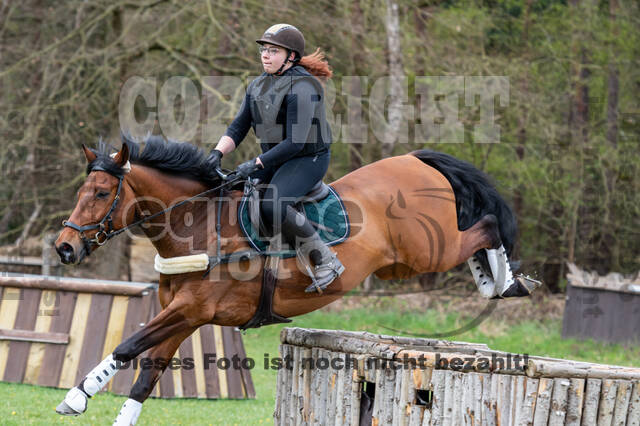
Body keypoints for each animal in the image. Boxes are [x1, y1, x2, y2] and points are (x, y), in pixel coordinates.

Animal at [55, 136, 536, 422]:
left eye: (102, 193)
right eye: (80, 192)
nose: (65, 248)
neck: (198, 224)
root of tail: (416, 160)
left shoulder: (191, 309)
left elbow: (127, 347)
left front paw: (77, 396)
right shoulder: (182, 315)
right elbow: (146, 375)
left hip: (426, 250)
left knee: (486, 225)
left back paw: (505, 283)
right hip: (405, 262)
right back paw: (501, 283)